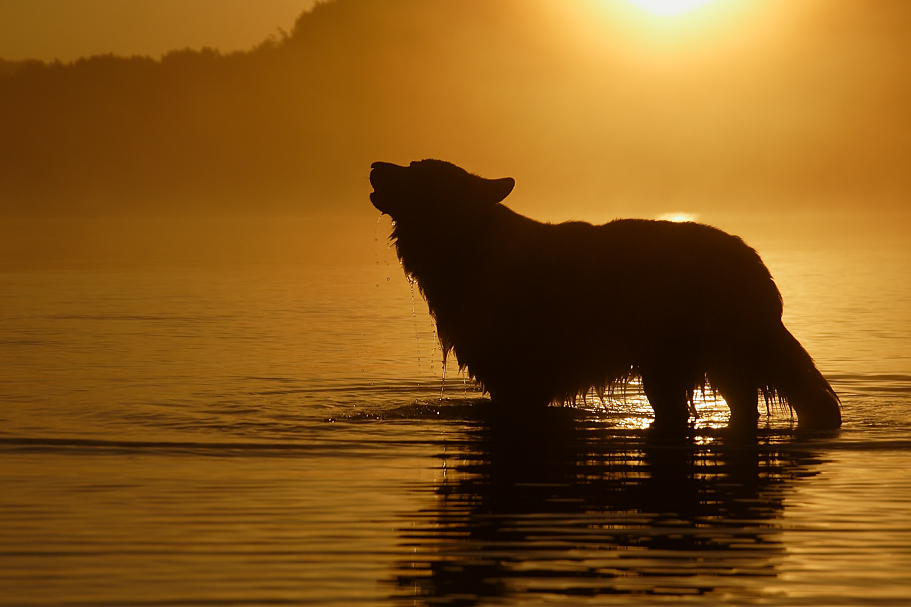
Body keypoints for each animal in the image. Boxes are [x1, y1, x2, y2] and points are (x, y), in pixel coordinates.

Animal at [368, 159, 840, 430]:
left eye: (418, 171)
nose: (374, 164)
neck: (470, 246)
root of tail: (757, 265)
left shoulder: (518, 377)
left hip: (705, 358)